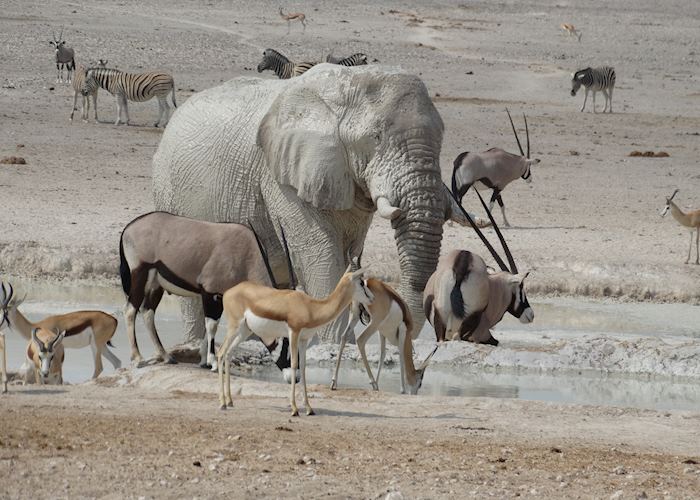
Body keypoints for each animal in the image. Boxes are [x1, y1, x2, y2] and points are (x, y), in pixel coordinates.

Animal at [152, 63, 470, 344]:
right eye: (375, 137)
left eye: (441, 139)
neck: (350, 84)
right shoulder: (282, 179)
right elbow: (322, 256)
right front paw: (336, 346)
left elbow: (346, 258)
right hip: (169, 191)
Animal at [219, 247, 374, 414]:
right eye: (361, 282)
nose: (372, 298)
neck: (311, 307)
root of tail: (228, 292)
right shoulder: (293, 333)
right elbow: (294, 364)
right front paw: (294, 408)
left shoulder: (304, 339)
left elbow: (304, 367)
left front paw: (309, 408)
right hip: (234, 327)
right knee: (221, 353)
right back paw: (222, 403)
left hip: (244, 331)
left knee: (228, 354)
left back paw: (230, 401)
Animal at [424, 186, 532, 346]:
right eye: (521, 289)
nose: (531, 315)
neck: (495, 286)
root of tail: (462, 263)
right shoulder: (483, 335)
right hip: (465, 323)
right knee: (457, 337)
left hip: (441, 320)